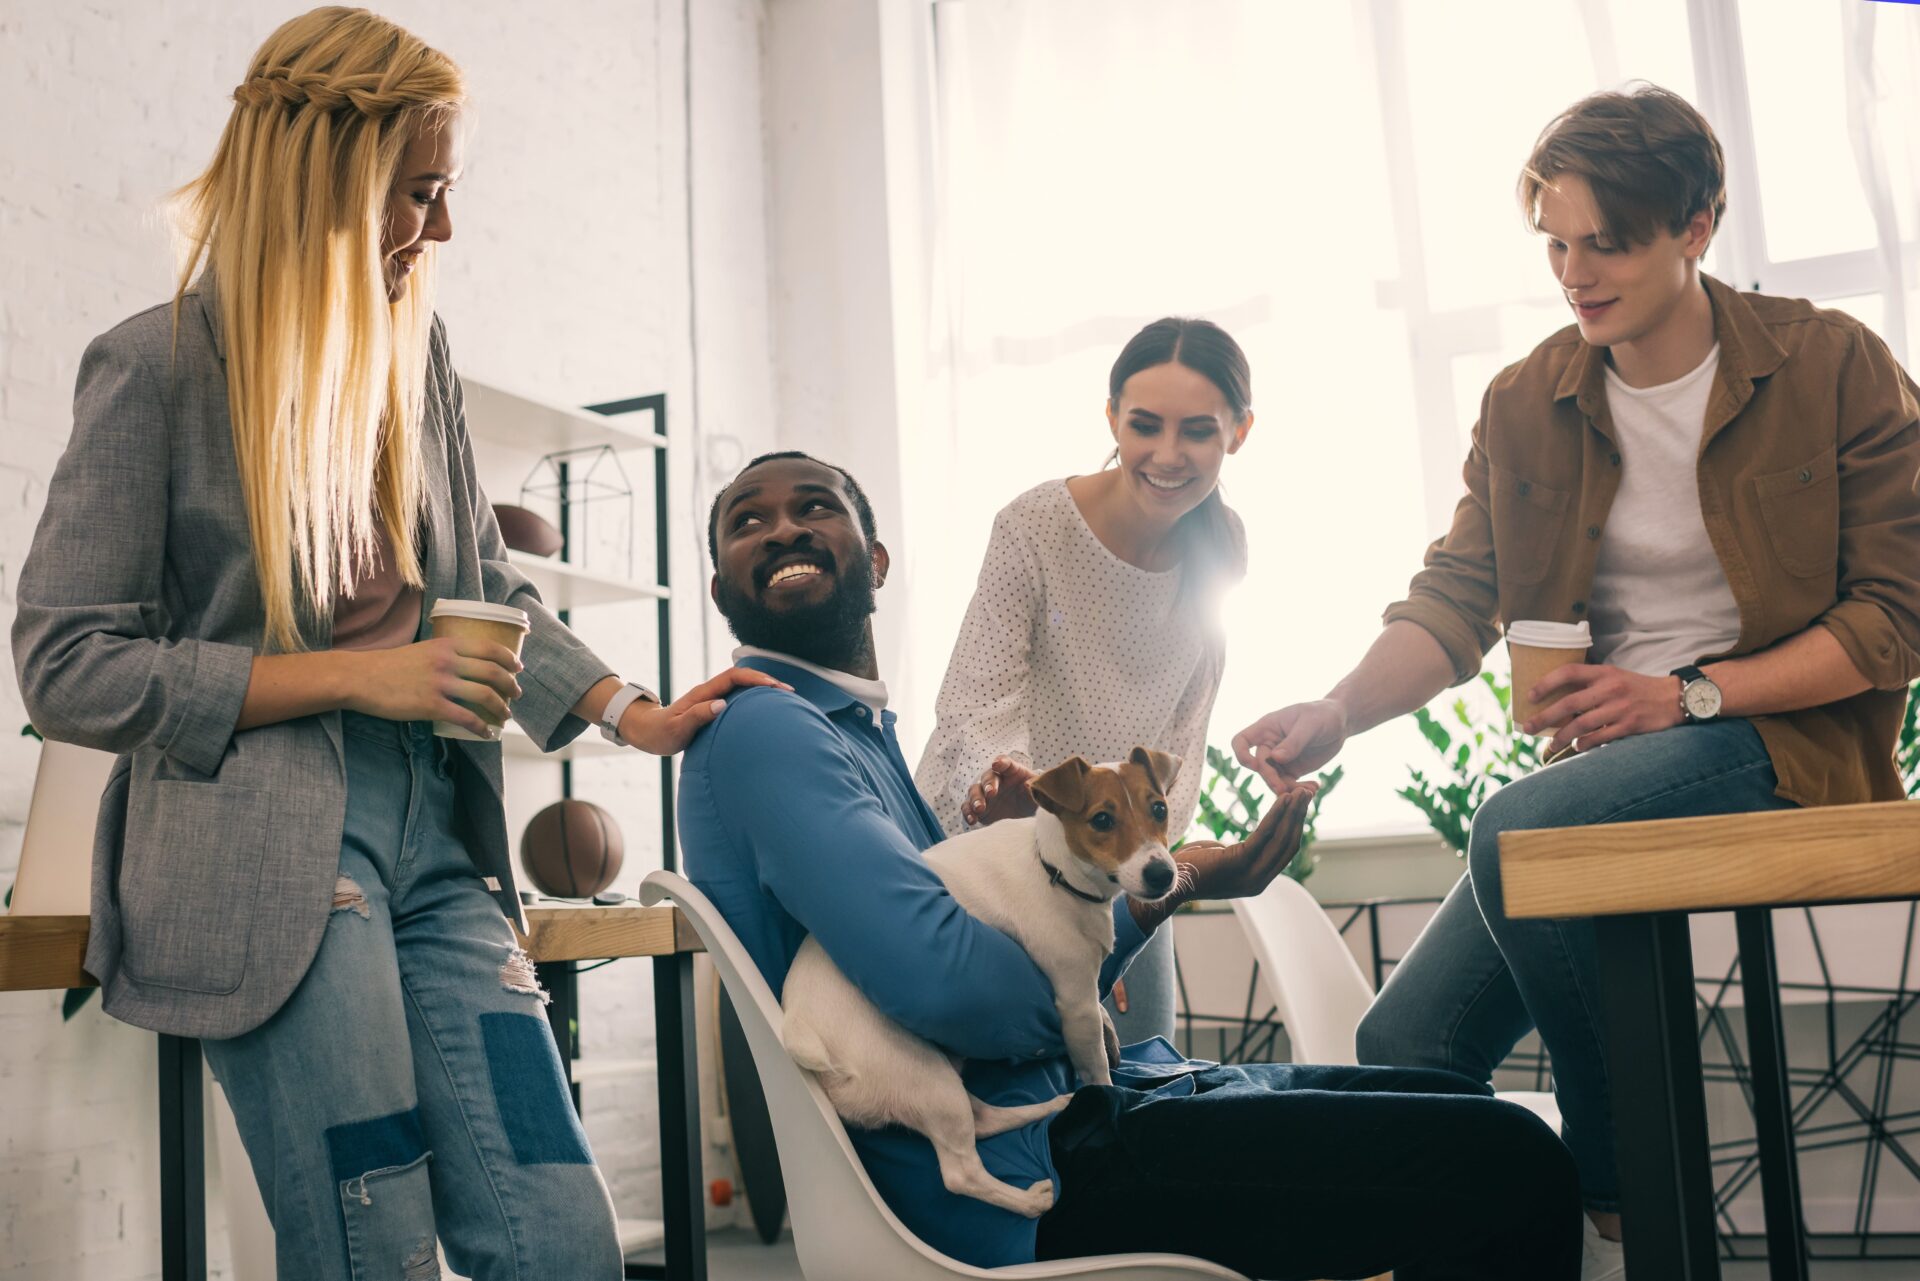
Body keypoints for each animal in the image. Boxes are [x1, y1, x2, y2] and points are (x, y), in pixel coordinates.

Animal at [775, 745, 1167, 1221]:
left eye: (1160, 809)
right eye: (1102, 820)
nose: (1163, 874)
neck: (1051, 867)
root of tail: (799, 1025)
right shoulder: (1076, 1004)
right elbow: (1098, 1069)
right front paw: (1109, 1100)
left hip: (941, 1077)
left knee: (982, 1119)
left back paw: (1052, 1106)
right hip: (922, 1077)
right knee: (961, 1174)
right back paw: (1029, 1200)